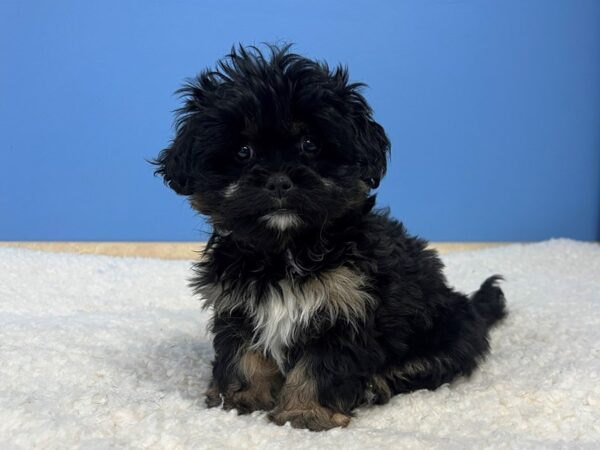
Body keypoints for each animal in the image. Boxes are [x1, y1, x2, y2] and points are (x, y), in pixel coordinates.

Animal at [154, 44, 506, 432]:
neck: (285, 250)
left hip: (447, 332)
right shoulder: (238, 302)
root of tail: (471, 308)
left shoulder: (346, 304)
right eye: (243, 152)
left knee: (429, 364)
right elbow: (244, 353)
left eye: (310, 144)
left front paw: (305, 413)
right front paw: (241, 399)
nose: (278, 181)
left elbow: (321, 365)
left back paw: (375, 384)